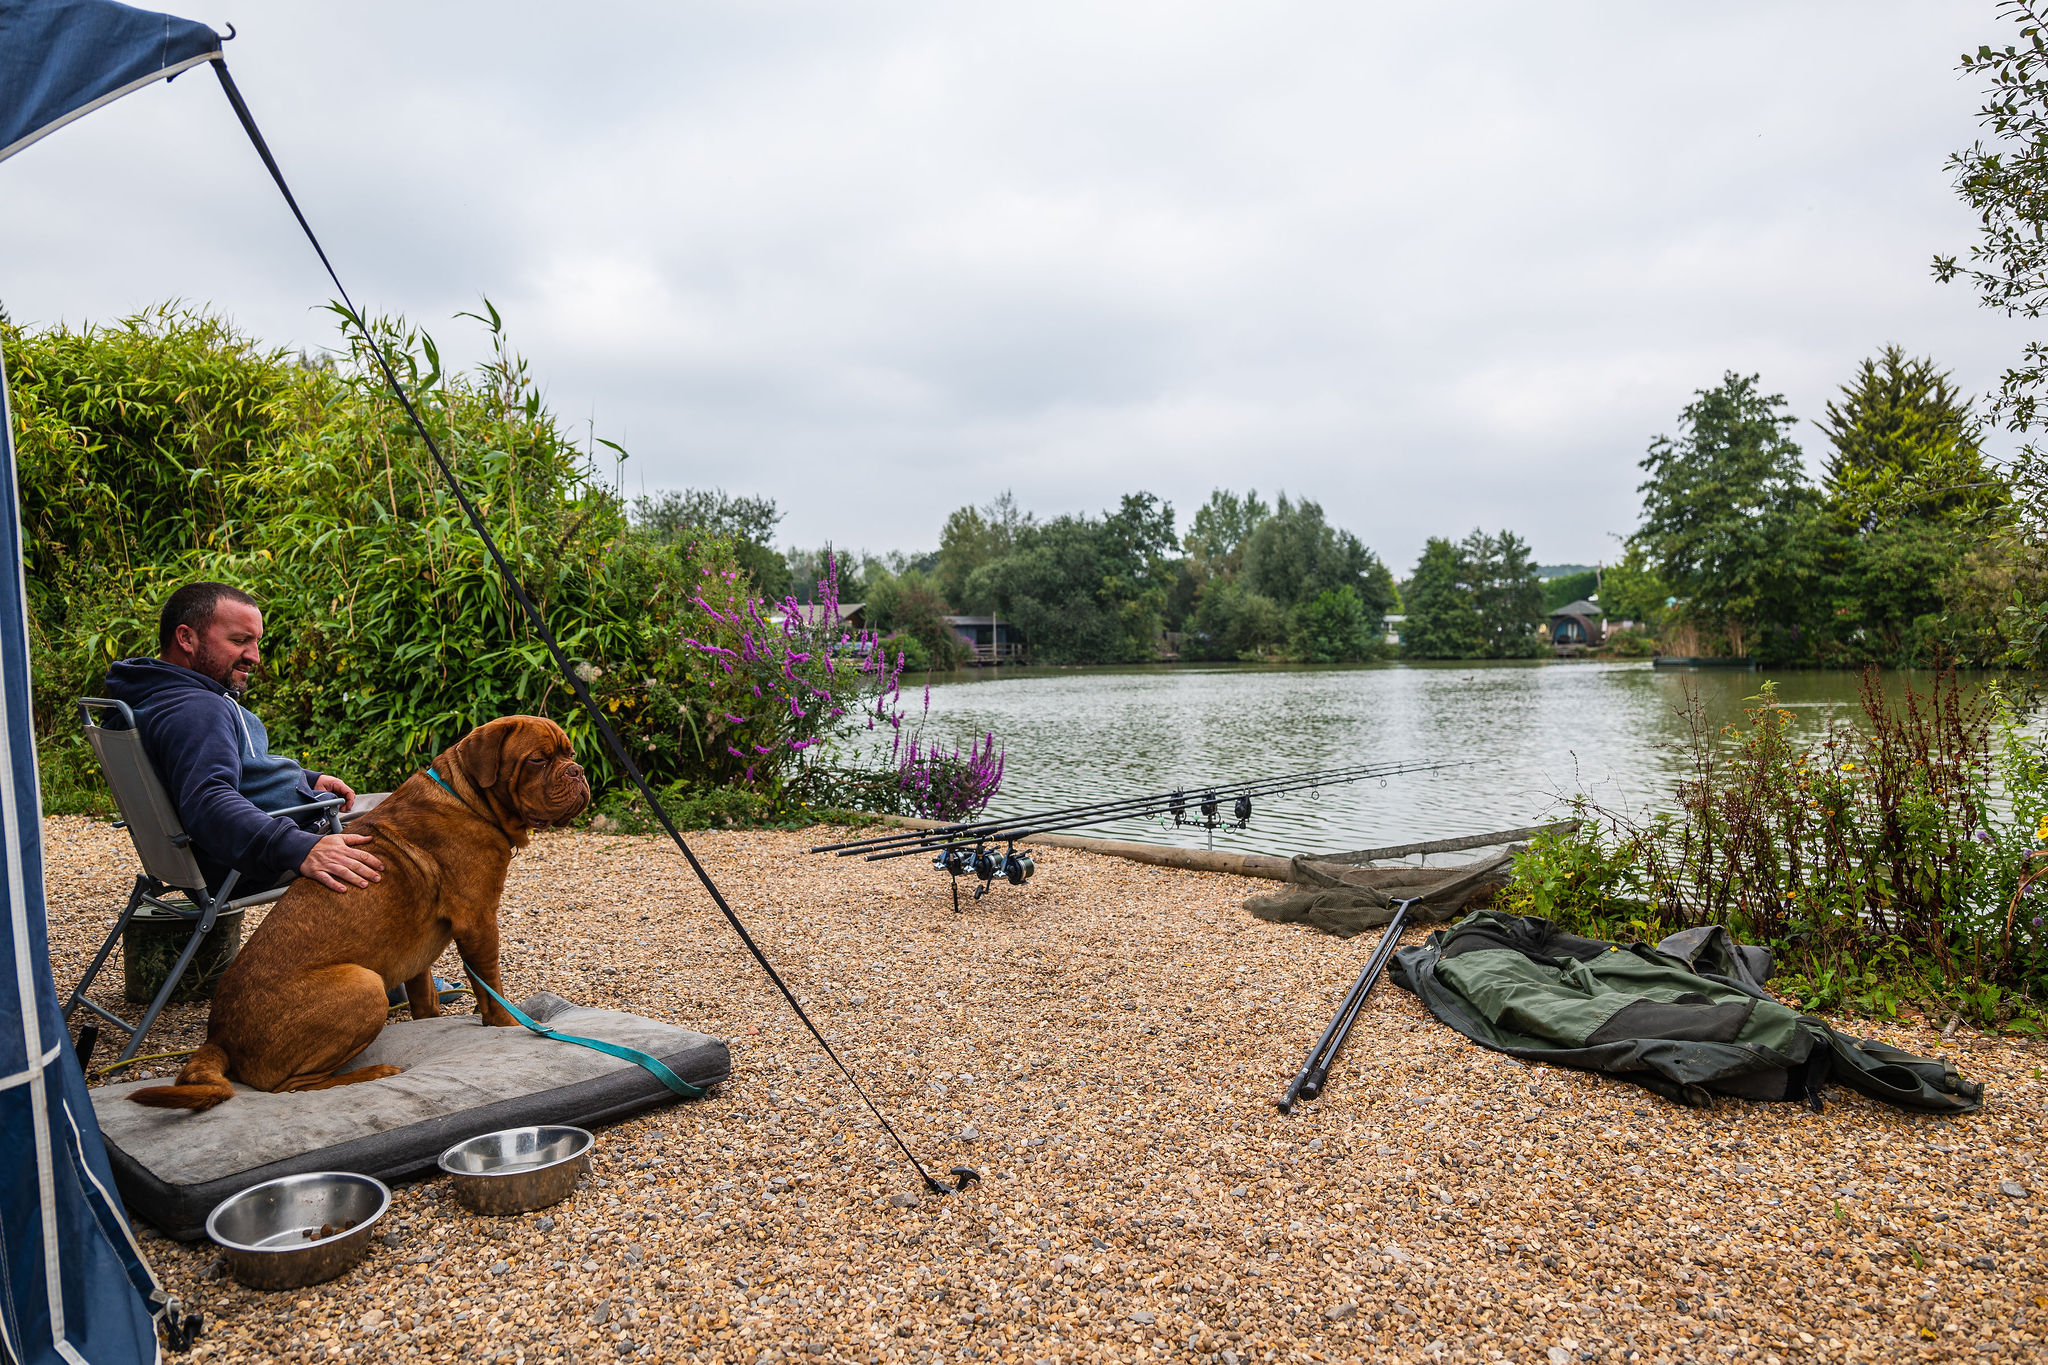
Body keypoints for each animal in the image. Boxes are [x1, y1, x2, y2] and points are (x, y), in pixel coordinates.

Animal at [132, 716, 589, 1113]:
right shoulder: (478, 920)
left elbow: (425, 998)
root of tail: (218, 1037)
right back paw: (374, 1073)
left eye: (569, 753)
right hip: (364, 984)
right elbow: (489, 985)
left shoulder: (418, 952)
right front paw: (506, 1026)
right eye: (538, 759)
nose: (577, 771)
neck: (468, 800)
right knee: (289, 1087)